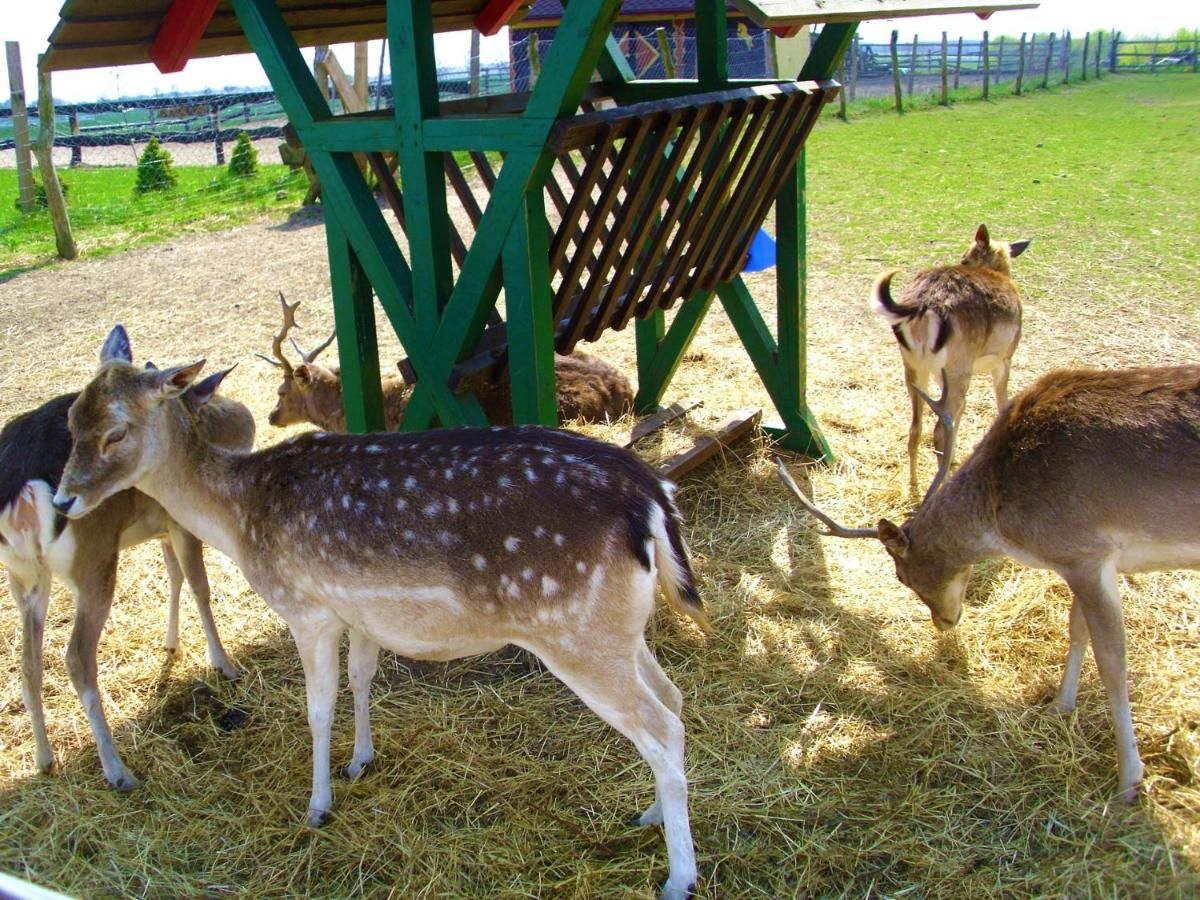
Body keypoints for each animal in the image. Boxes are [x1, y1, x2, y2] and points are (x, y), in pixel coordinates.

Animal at [0, 328, 253, 792]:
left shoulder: (161, 527)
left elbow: (173, 577)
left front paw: (171, 645)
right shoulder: (180, 521)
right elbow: (199, 585)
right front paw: (224, 664)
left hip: (24, 576)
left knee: (27, 664)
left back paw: (44, 759)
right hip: (93, 560)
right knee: (76, 657)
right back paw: (118, 771)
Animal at [56, 324, 705, 897]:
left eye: (116, 433)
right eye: (70, 420)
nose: (62, 500)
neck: (240, 516)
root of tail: (653, 500)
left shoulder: (306, 608)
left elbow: (318, 708)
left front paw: (318, 805)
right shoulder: (357, 612)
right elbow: (360, 679)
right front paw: (360, 762)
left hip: (575, 633)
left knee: (660, 727)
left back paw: (679, 878)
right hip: (618, 628)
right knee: (673, 698)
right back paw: (650, 815)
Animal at [772, 364, 1200, 801]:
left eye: (900, 575)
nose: (943, 622)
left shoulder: (1085, 551)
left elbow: (1113, 661)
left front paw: (1128, 780)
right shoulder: (1085, 559)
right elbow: (1076, 630)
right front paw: (1058, 707)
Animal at [873, 224, 1032, 494]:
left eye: (965, 256)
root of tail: (922, 306)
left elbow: (962, 411)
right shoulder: (1005, 358)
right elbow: (1002, 402)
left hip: (915, 365)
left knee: (916, 426)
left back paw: (914, 485)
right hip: (959, 366)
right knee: (938, 428)